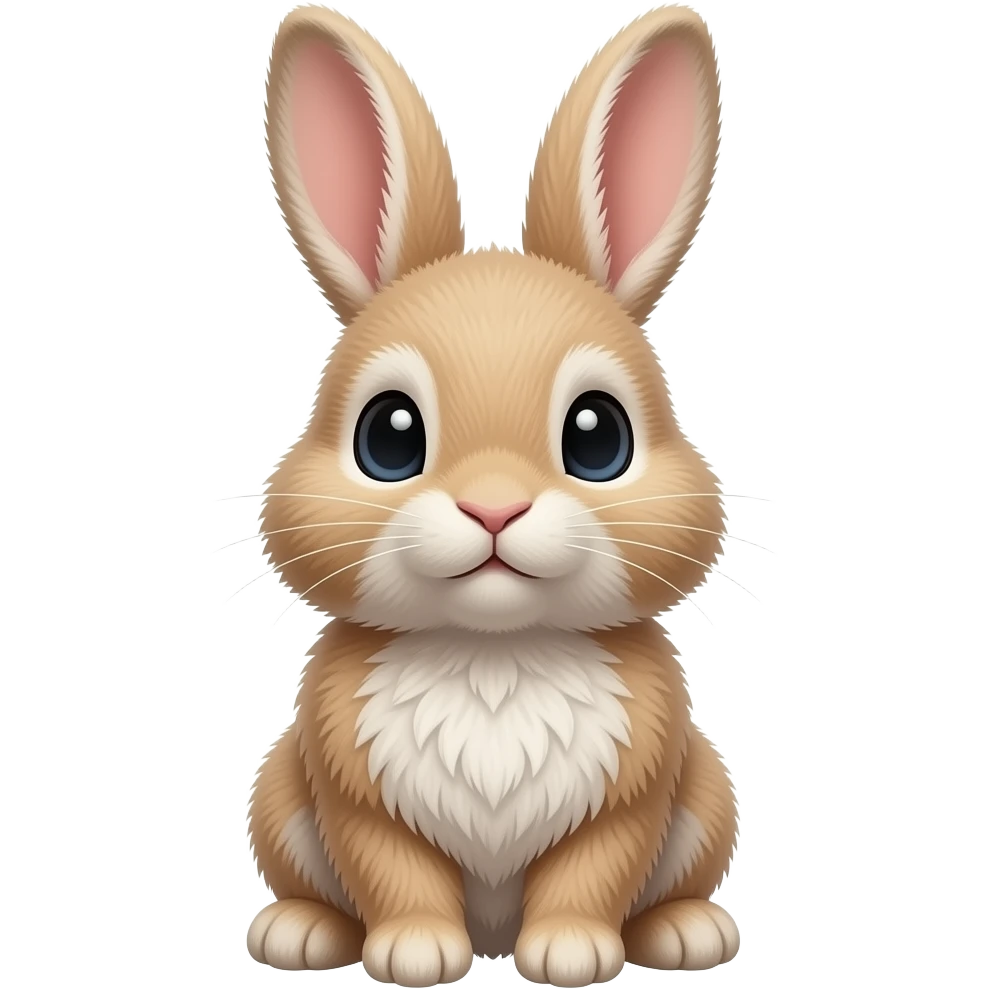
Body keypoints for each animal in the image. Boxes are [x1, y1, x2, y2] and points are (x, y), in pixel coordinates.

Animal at [246, 3, 739, 986]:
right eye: (388, 437)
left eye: (598, 437)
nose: (495, 508)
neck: (493, 654)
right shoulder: (353, 792)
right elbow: (395, 871)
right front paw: (415, 952)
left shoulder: (632, 792)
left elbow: (591, 871)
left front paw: (570, 953)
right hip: (278, 796)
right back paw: (300, 932)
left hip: (706, 797)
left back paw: (685, 932)